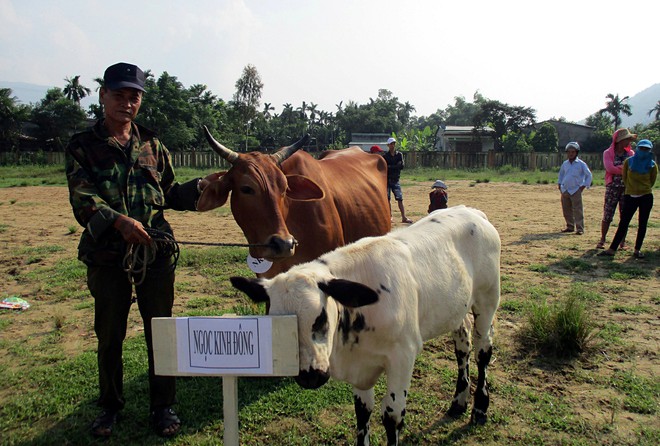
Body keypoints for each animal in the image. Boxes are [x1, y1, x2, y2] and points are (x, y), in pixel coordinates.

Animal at [232, 206, 500, 446]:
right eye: (277, 326)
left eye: (320, 318)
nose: (310, 376)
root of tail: (473, 212)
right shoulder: (360, 367)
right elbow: (362, 413)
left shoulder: (403, 356)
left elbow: (392, 417)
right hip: (456, 308)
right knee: (463, 346)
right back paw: (458, 402)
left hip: (487, 301)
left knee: (483, 351)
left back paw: (479, 409)